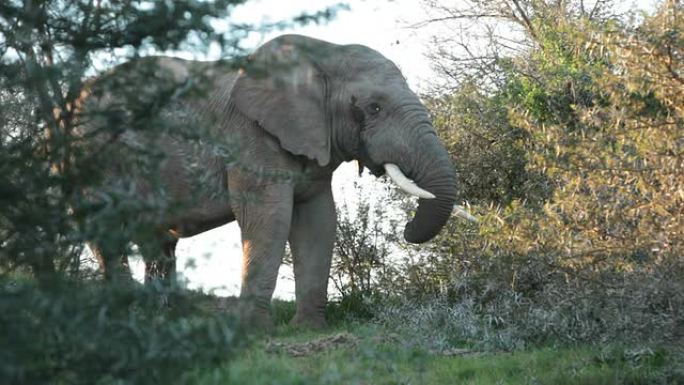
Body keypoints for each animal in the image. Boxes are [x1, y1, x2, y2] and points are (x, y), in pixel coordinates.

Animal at [80, 34, 472, 328]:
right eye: (373, 108)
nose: (407, 229)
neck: (323, 54)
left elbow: (318, 221)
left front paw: (309, 328)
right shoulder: (249, 135)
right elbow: (269, 218)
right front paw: (255, 330)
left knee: (156, 240)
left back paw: (160, 318)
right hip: (97, 159)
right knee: (106, 232)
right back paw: (124, 317)